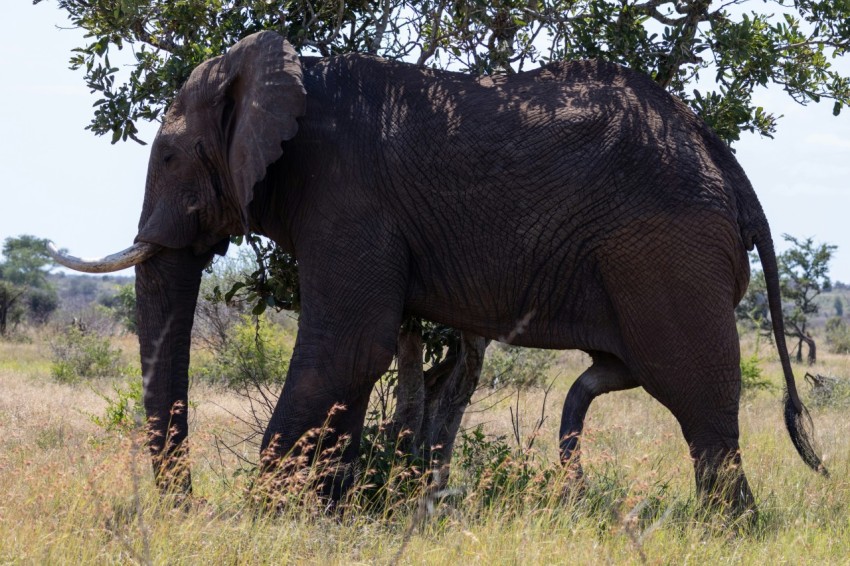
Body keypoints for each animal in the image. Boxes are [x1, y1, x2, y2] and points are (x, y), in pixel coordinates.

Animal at [49, 31, 824, 516]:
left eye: (169, 156)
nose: (188, 508)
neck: (290, 73)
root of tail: (721, 156)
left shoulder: (348, 197)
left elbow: (348, 349)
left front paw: (260, 520)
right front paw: (326, 516)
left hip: (666, 254)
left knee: (702, 409)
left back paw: (727, 533)